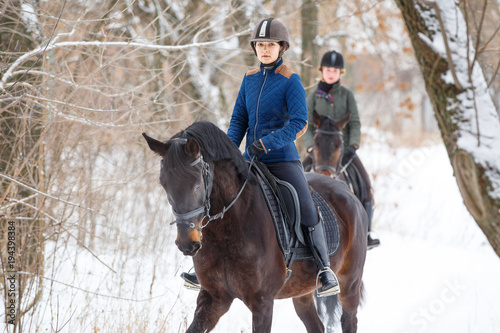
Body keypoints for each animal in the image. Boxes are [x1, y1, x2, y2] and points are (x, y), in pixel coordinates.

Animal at [143, 122, 366, 332]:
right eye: (164, 184)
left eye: (198, 184)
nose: (187, 244)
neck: (227, 231)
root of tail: (348, 192)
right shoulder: (214, 298)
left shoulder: (262, 302)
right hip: (302, 291)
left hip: (349, 284)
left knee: (349, 320)